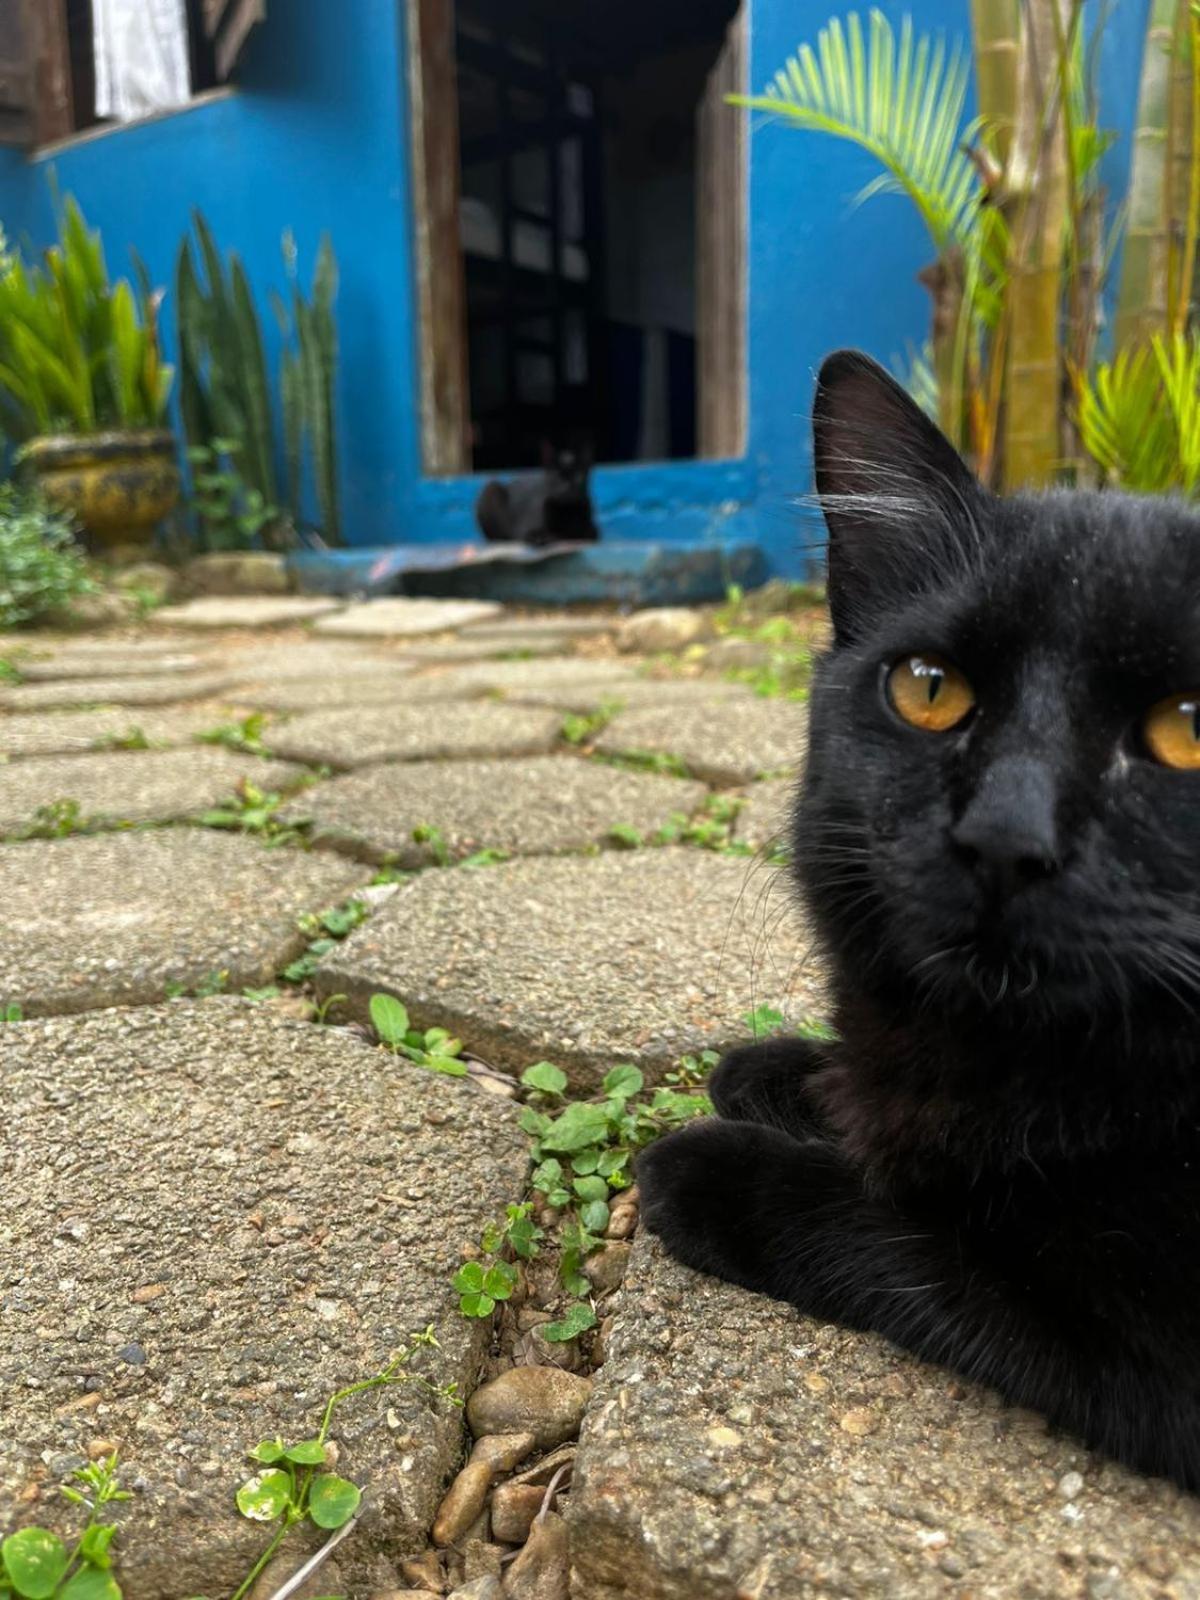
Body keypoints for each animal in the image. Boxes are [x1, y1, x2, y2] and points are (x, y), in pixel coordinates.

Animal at [643, 347, 1200, 1484]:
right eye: (930, 690)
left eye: (1188, 730)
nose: (1005, 835)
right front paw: (786, 1070)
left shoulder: (1141, 1339)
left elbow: (912, 1237)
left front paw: (716, 1166)